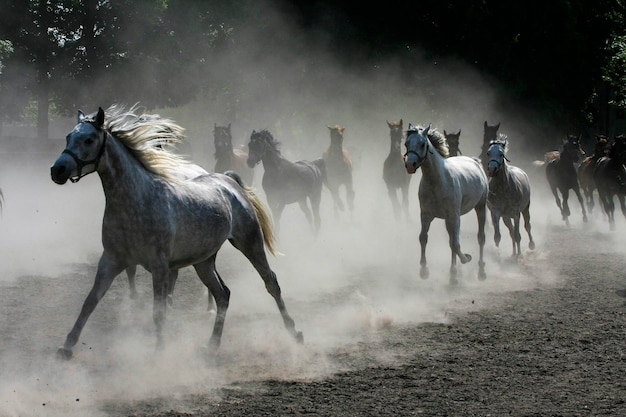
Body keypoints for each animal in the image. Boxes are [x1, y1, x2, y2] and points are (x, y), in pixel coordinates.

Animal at [50, 104, 302, 358]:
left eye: (89, 139)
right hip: (204, 262)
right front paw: (67, 346)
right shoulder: (111, 260)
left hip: (250, 243)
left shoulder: (159, 266)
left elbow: (159, 311)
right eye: (69, 137)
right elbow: (90, 301)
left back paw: (294, 332)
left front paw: (160, 351)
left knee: (271, 282)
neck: (136, 200)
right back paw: (212, 344)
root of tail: (229, 182)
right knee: (223, 295)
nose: (57, 170)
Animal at [400, 122, 488, 284]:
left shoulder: (455, 216)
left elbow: (456, 244)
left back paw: (480, 272)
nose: (409, 165)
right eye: (406, 143)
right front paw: (424, 271)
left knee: (480, 238)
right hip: (448, 220)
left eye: (422, 144)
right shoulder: (426, 215)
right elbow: (423, 238)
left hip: (480, 207)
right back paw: (453, 275)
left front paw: (466, 258)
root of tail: (475, 161)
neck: (437, 181)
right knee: (451, 241)